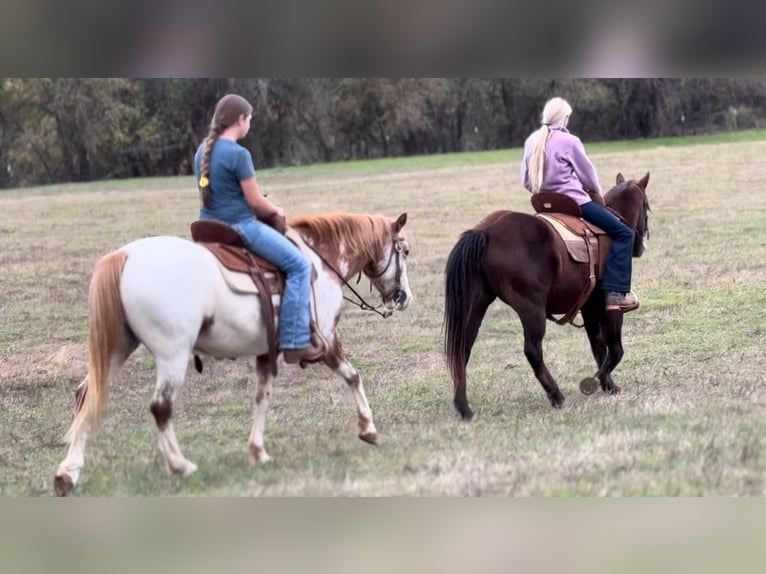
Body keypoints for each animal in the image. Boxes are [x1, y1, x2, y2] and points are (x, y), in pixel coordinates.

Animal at [54, 214, 412, 498]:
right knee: (160, 407)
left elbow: (262, 396)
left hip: (117, 348)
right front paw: (368, 428)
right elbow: (352, 375)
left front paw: (257, 451)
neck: (319, 263)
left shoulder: (267, 351)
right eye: (405, 251)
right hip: (172, 354)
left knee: (86, 396)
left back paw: (67, 473)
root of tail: (123, 256)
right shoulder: (326, 339)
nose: (404, 297)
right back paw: (180, 465)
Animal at [444, 173, 656, 420]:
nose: (640, 246)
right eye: (646, 206)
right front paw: (594, 383)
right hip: (531, 308)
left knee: (463, 347)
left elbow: (598, 346)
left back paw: (463, 407)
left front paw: (608, 385)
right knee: (532, 350)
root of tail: (486, 231)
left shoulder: (589, 306)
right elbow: (615, 350)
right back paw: (556, 395)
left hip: (477, 302)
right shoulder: (609, 307)